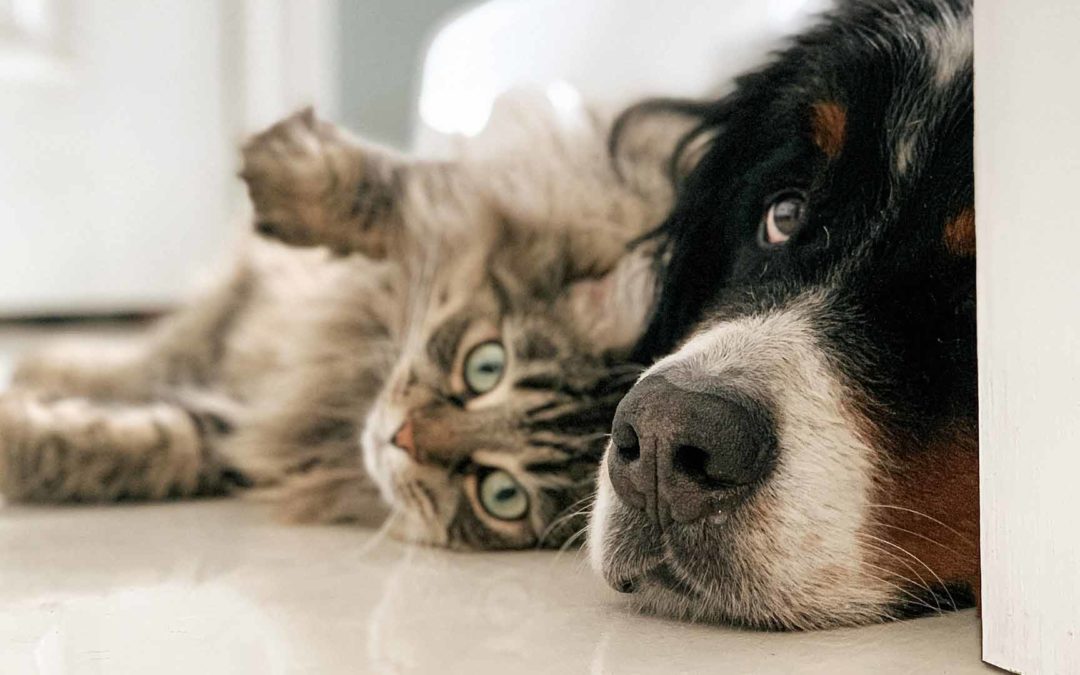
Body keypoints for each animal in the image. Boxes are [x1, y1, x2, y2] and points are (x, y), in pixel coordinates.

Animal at [0, 93, 682, 548]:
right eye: (485, 368)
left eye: (501, 494)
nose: (401, 438)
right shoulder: (498, 198)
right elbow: (391, 193)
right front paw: (287, 168)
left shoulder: (247, 436)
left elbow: (146, 446)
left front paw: (21, 439)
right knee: (149, 355)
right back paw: (46, 364)